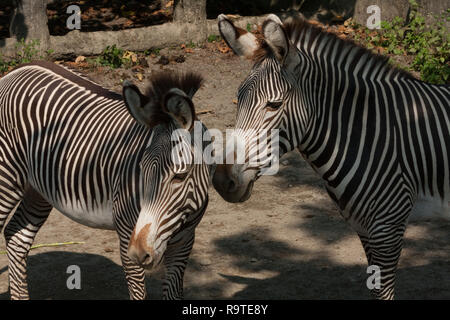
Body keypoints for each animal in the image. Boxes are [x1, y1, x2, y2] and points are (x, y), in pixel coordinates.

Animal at [0, 60, 214, 300]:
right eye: (141, 169)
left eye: (180, 176)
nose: (139, 252)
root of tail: (18, 69)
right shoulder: (127, 236)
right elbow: (138, 293)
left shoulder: (184, 243)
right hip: (6, 177)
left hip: (38, 189)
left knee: (17, 237)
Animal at [214, 14, 450, 300]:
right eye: (238, 99)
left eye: (274, 105)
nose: (222, 181)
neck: (366, 132)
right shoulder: (365, 229)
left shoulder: (388, 228)